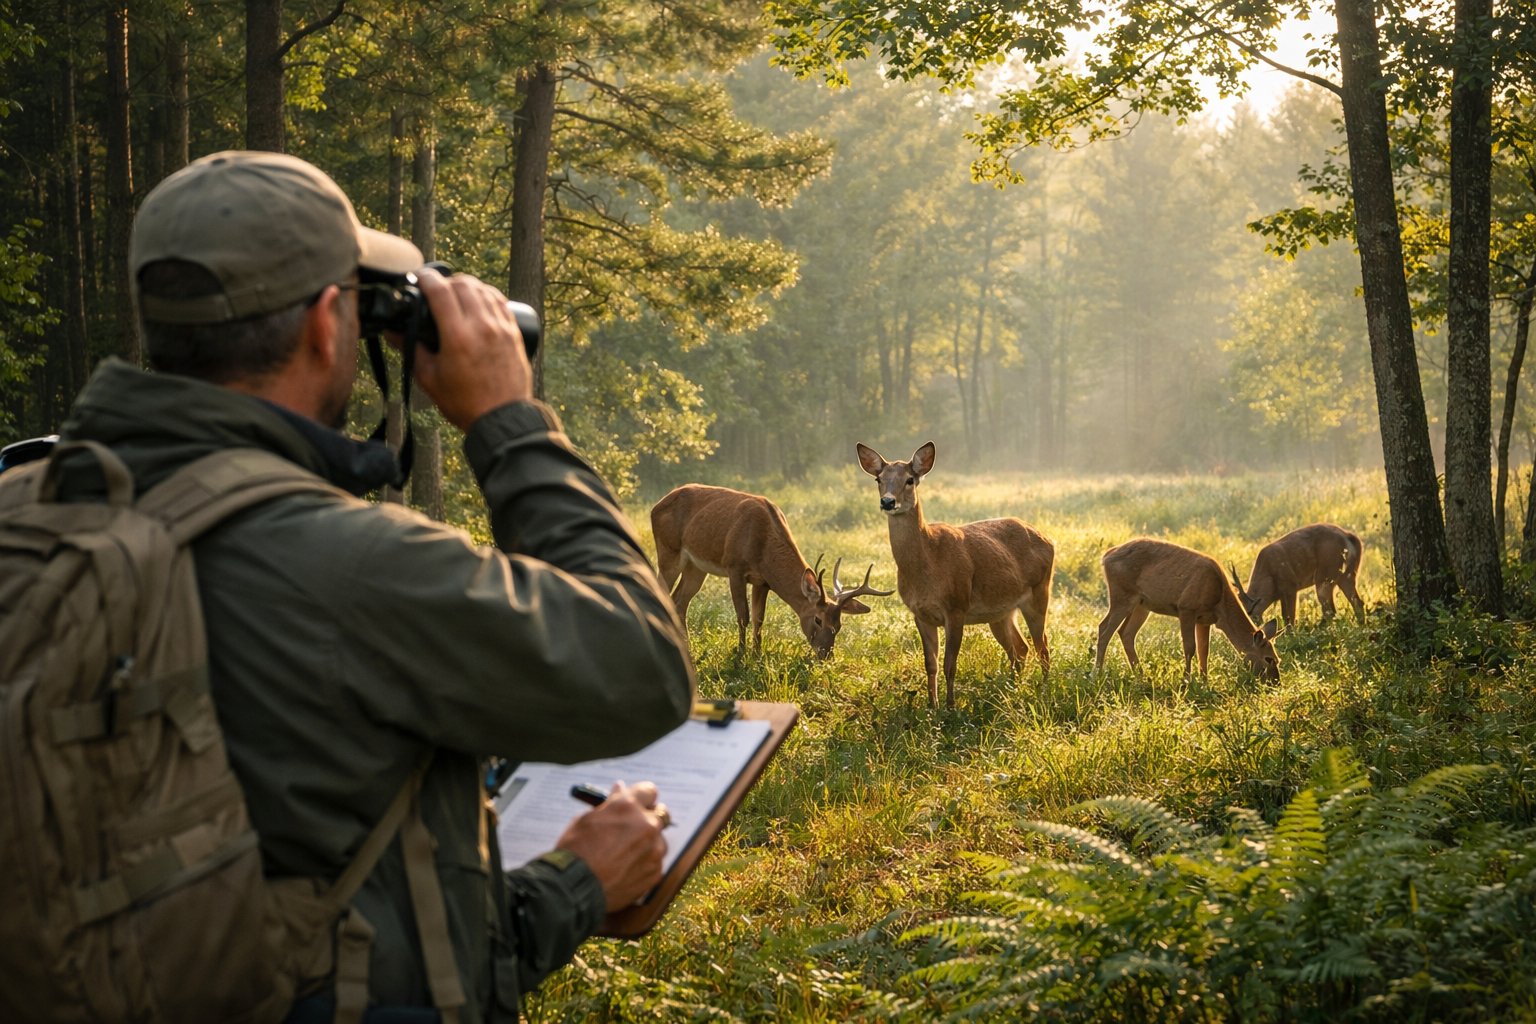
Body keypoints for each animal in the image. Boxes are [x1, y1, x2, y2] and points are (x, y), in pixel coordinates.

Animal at [649, 483, 892, 659]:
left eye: (839, 625)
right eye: (817, 620)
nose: (825, 655)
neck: (763, 544)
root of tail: (655, 506)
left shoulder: (762, 581)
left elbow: (759, 618)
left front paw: (757, 655)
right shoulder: (734, 567)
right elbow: (743, 616)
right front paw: (740, 655)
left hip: (696, 567)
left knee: (678, 601)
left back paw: (686, 647)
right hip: (668, 551)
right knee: (662, 589)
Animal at [855, 441, 1054, 710]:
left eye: (910, 479)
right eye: (879, 478)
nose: (888, 502)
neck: (928, 564)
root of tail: (1048, 539)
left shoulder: (956, 606)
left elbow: (950, 664)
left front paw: (950, 707)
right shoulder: (920, 614)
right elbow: (931, 664)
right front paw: (932, 706)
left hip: (1039, 592)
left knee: (1042, 645)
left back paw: (1043, 688)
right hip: (1000, 612)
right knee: (1019, 648)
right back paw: (1012, 689)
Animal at [1096, 538, 1281, 681]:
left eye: (1278, 659)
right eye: (1269, 659)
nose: (1276, 683)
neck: (1219, 598)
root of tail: (1106, 556)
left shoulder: (1205, 620)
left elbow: (1204, 650)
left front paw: (1205, 681)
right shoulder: (1186, 608)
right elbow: (1190, 647)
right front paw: (1186, 680)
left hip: (1141, 604)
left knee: (1125, 632)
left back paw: (1140, 675)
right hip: (1122, 595)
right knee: (1104, 629)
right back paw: (1096, 674)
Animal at [1230, 523, 1365, 628]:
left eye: (1248, 612)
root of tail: (1349, 536)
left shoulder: (1290, 585)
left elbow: (1289, 617)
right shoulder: (1282, 593)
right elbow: (1285, 617)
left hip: (1325, 576)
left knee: (1330, 610)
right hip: (1347, 575)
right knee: (1357, 603)